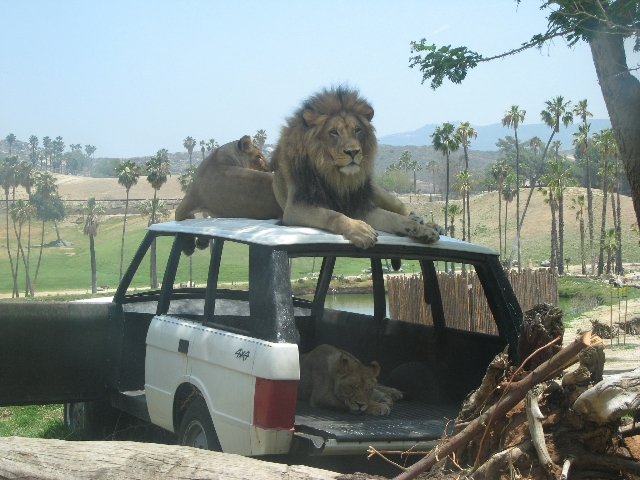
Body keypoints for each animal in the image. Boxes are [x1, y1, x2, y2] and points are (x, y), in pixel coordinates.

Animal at [270, 86, 444, 249]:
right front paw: (361, 230)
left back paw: (426, 223)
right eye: (334, 132)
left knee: (401, 209)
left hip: (380, 192)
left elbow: (392, 217)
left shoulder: (360, 206)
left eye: (357, 130)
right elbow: (332, 215)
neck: (337, 178)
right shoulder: (295, 208)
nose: (353, 151)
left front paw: (421, 230)